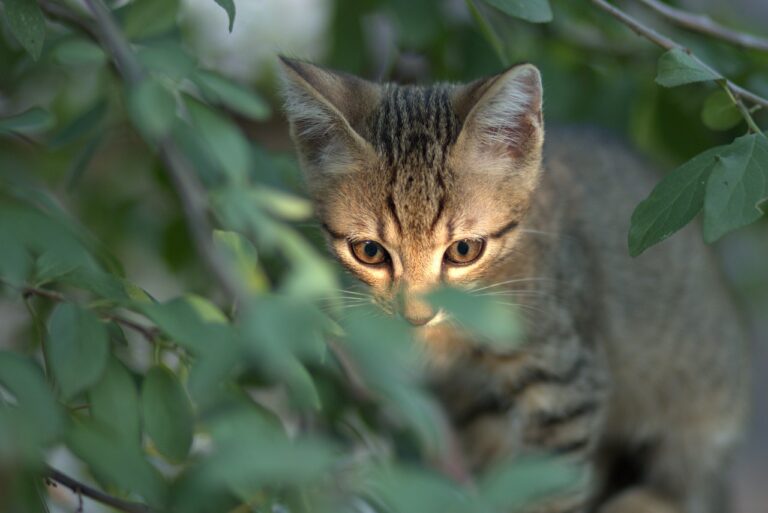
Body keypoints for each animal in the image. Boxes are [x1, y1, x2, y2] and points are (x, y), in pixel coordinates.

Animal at [280, 57, 748, 512]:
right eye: (370, 252)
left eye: (464, 250)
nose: (416, 316)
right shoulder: (465, 395)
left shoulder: (566, 376)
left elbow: (550, 485)